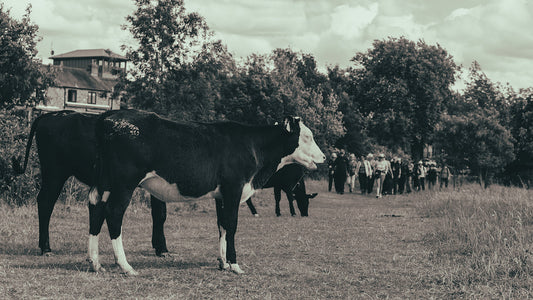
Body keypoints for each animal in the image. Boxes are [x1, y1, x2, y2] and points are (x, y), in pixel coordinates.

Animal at [11, 111, 168, 256]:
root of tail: (52, 114)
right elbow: (160, 214)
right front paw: (162, 248)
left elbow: (159, 213)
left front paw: (160, 247)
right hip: (54, 173)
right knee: (45, 202)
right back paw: (46, 248)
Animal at [89, 109, 324, 274]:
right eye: (307, 136)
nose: (324, 157)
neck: (253, 146)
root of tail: (111, 116)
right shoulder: (234, 189)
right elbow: (232, 225)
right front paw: (235, 264)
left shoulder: (222, 195)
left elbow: (222, 225)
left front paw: (223, 262)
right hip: (124, 183)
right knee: (113, 213)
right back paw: (125, 265)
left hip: (104, 183)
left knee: (96, 207)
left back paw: (95, 262)